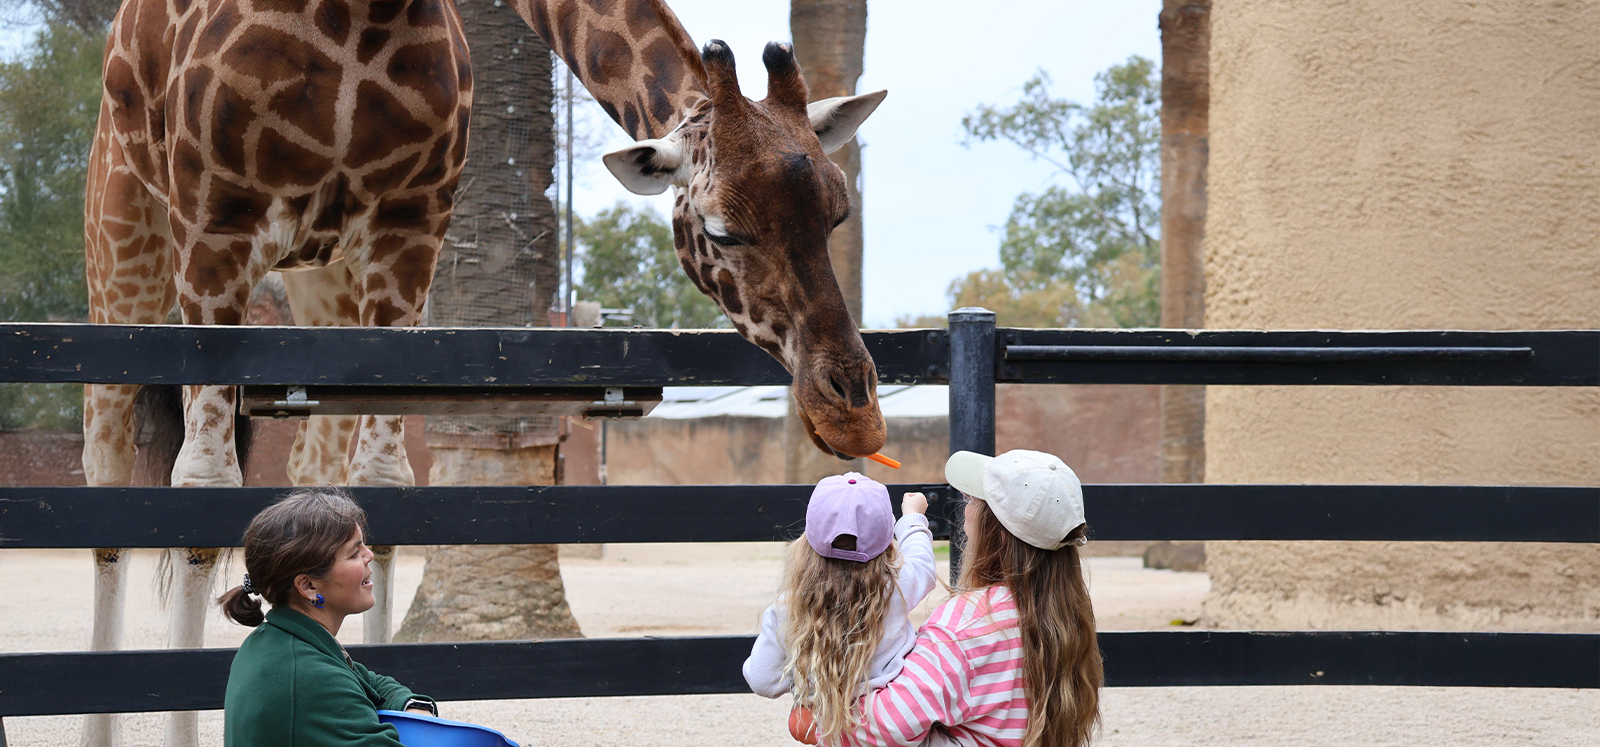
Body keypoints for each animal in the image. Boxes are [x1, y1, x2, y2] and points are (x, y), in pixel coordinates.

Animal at [82, 0, 887, 743]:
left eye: (839, 213)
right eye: (721, 229)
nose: (854, 413)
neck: (366, 9)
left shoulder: (405, 236)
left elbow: (379, 486)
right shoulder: (218, 225)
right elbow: (203, 487)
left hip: (322, 280)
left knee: (312, 471)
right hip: (125, 232)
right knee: (108, 470)